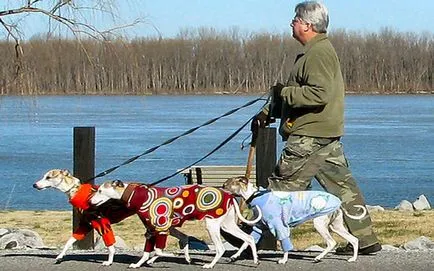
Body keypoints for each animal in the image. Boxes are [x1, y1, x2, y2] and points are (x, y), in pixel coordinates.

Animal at [90, 181, 262, 270]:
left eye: (100, 191)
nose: (90, 201)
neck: (141, 196)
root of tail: (230, 196)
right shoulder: (152, 230)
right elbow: (148, 252)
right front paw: (138, 264)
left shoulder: (162, 227)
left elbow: (159, 250)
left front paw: (172, 256)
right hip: (227, 225)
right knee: (248, 238)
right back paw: (255, 261)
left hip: (212, 225)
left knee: (220, 248)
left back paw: (210, 265)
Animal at [222, 177, 368, 264]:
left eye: (226, 184)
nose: (220, 188)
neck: (255, 195)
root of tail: (339, 202)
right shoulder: (259, 228)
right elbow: (246, 242)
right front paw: (235, 256)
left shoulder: (279, 226)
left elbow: (285, 244)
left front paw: (283, 260)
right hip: (336, 226)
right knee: (354, 239)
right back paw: (353, 258)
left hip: (319, 223)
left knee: (331, 242)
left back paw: (318, 258)